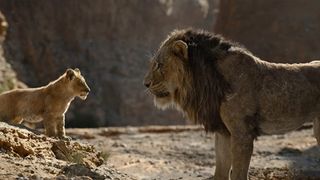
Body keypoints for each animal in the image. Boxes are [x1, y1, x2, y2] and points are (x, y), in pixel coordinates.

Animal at [144, 28, 320, 179]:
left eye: (159, 65)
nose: (145, 84)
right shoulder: (224, 132)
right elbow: (220, 171)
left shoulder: (242, 133)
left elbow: (238, 174)